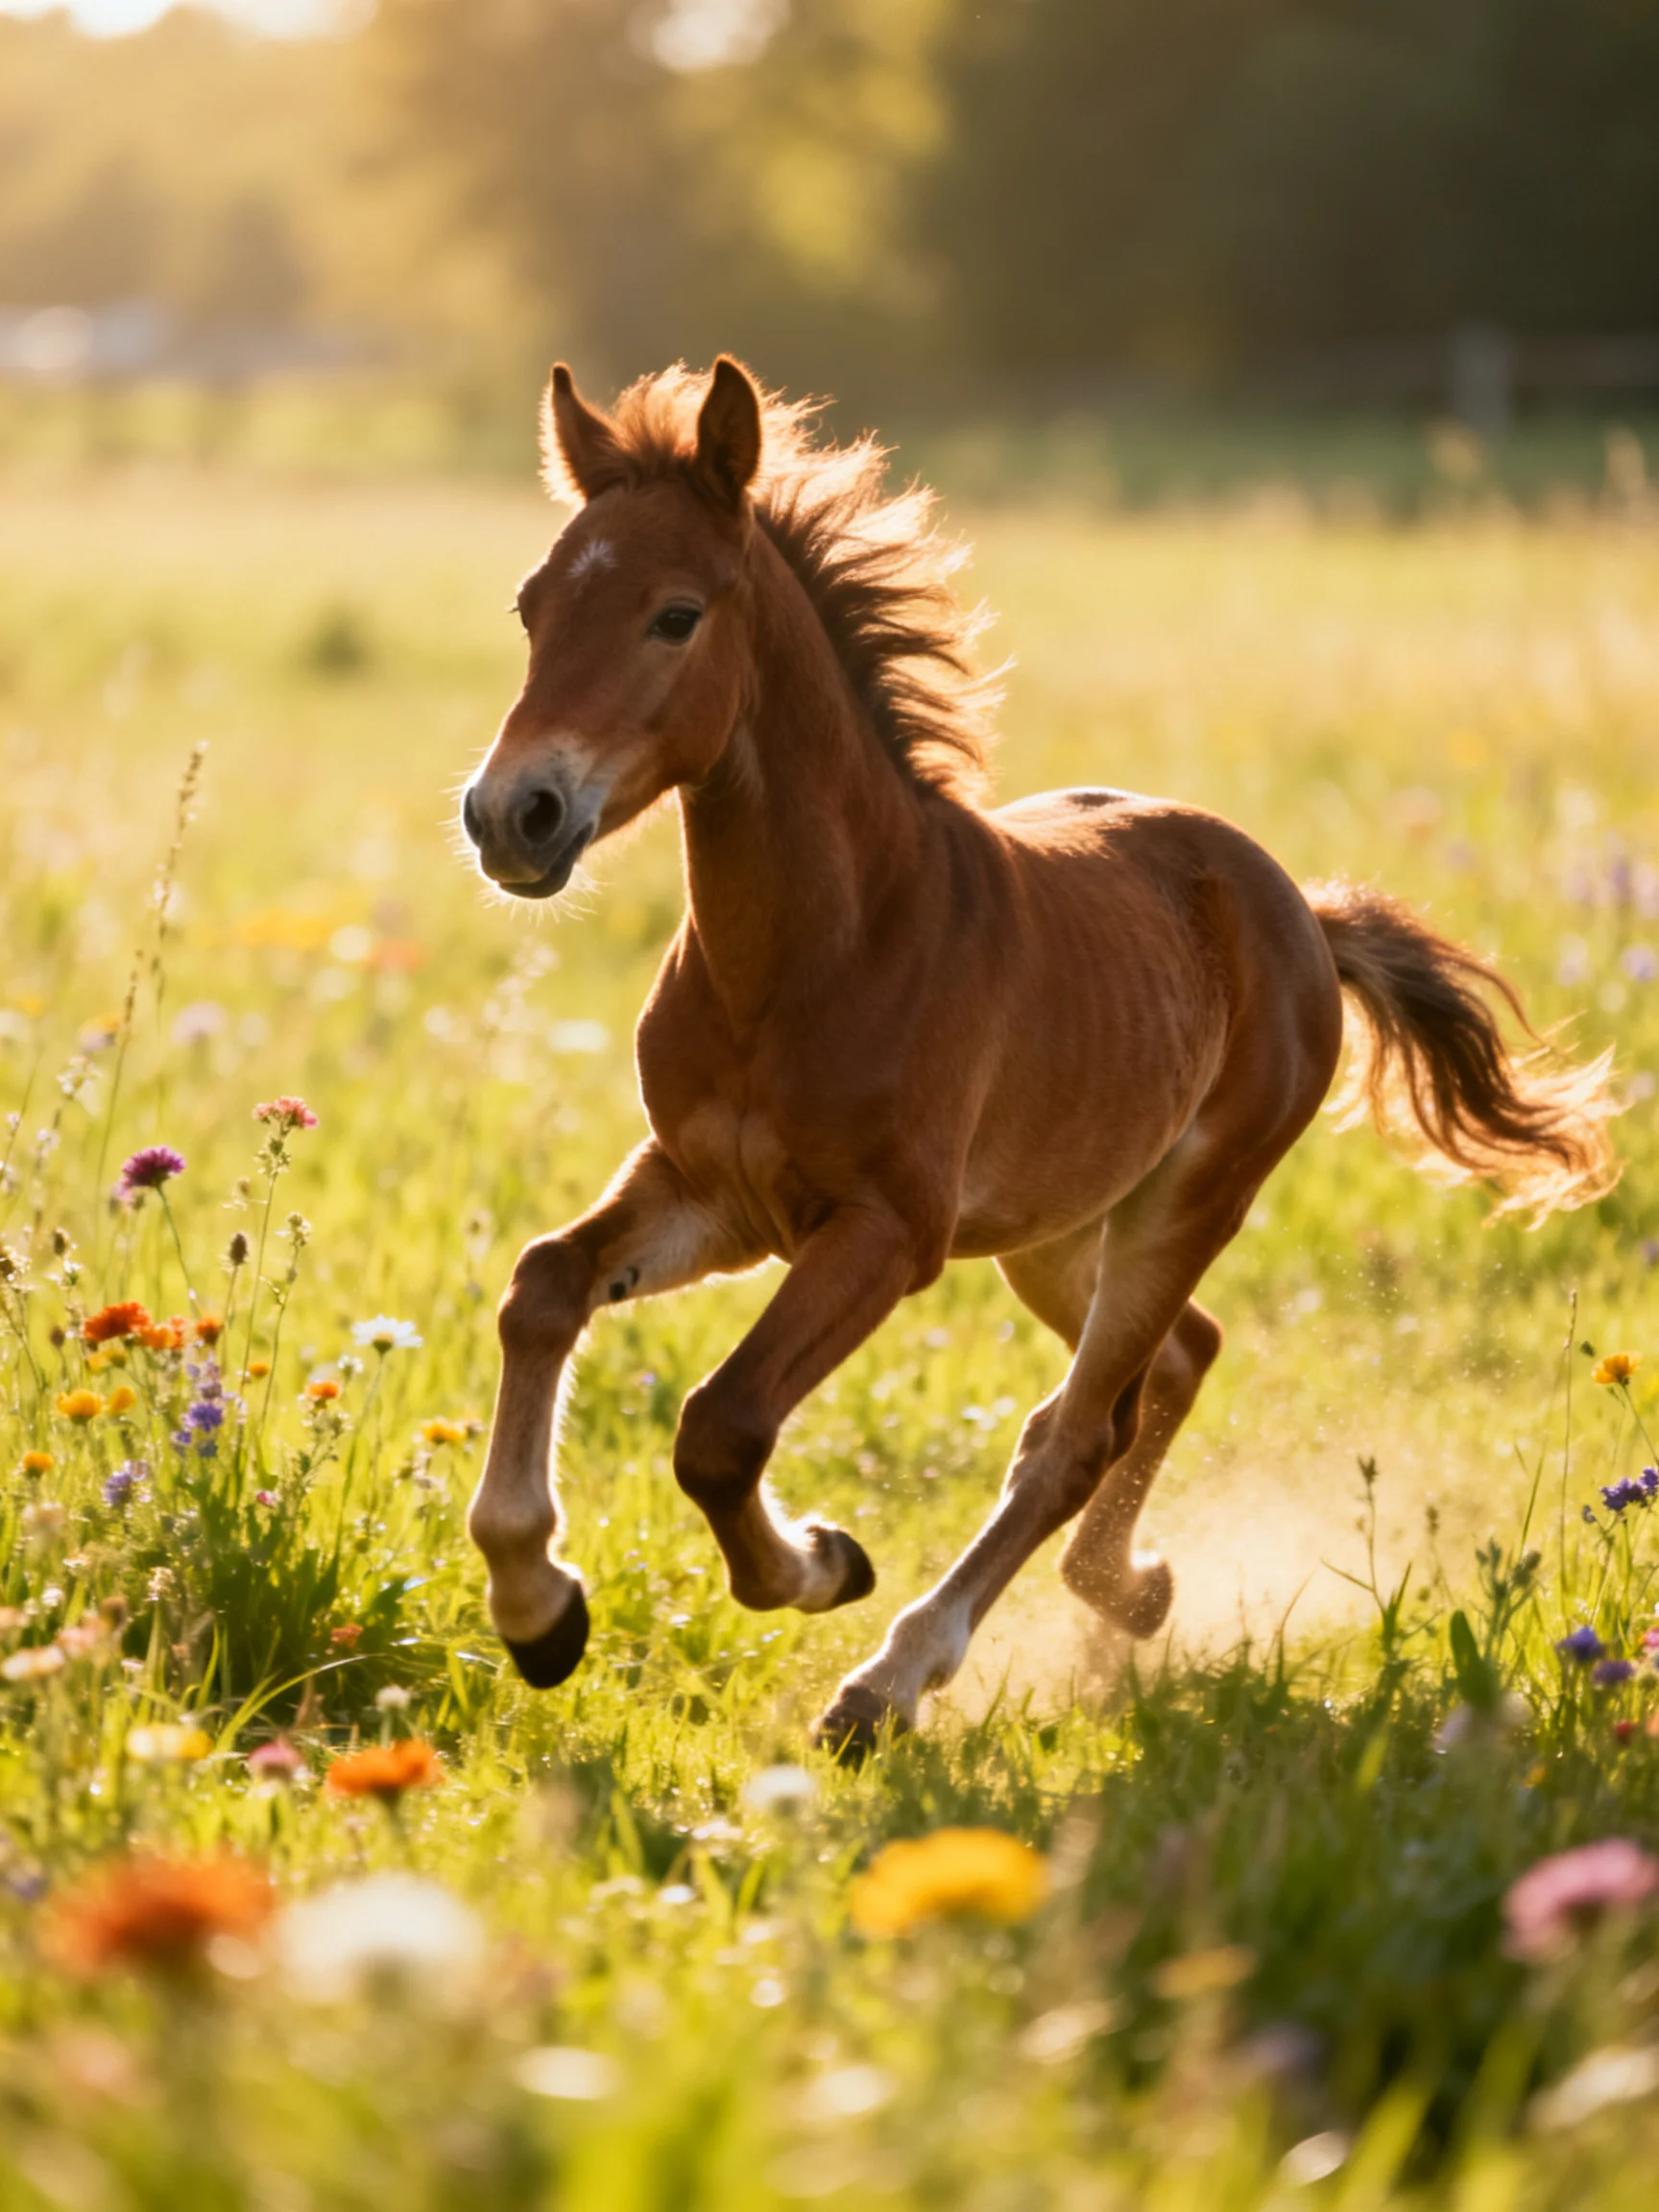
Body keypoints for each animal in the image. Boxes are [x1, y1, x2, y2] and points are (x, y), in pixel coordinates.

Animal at [458, 355, 1618, 1755]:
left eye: (675, 615)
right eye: (530, 606)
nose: (511, 814)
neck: (817, 950)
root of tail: (1299, 909)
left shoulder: (886, 1230)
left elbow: (721, 1427)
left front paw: (820, 1566)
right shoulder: (712, 1190)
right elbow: (543, 1285)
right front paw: (538, 1609)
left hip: (1186, 1203)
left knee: (1075, 1432)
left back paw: (890, 1681)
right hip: (1053, 1230)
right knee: (1168, 1365)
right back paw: (1129, 1593)